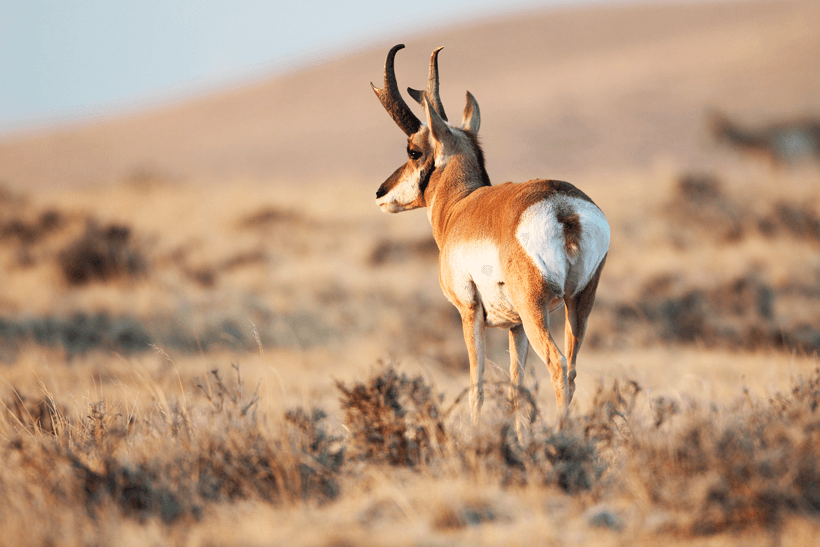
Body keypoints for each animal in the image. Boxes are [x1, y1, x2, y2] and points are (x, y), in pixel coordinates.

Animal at [372, 44, 610, 428]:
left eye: (413, 151)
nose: (381, 192)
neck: (461, 204)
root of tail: (563, 207)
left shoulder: (469, 313)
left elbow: (477, 385)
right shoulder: (515, 328)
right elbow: (516, 389)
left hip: (535, 310)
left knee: (557, 366)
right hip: (578, 305)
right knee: (572, 368)